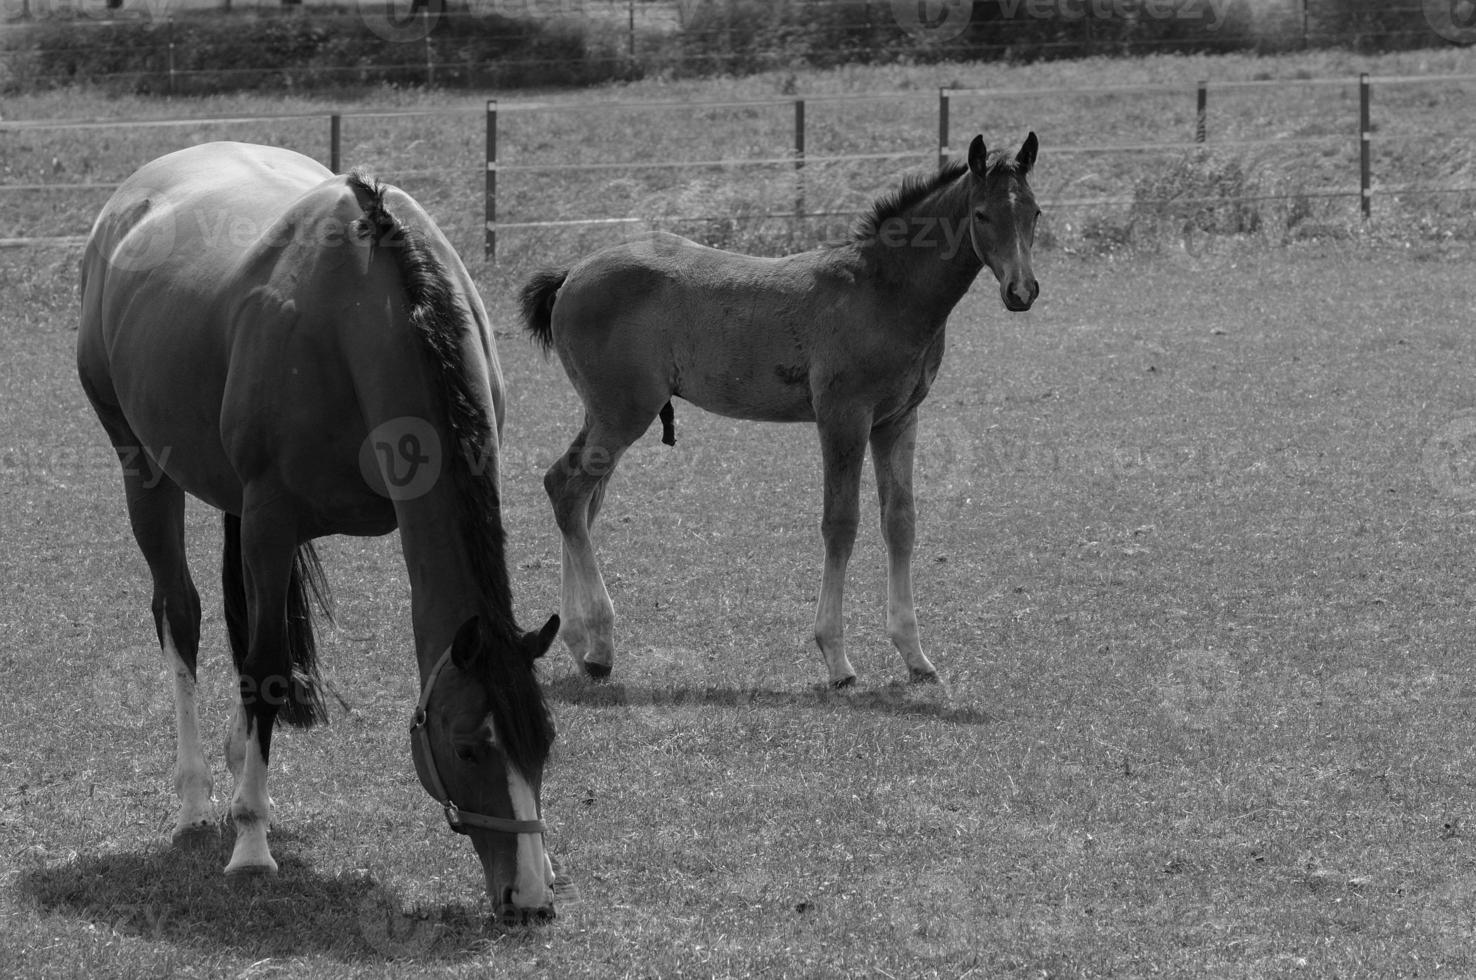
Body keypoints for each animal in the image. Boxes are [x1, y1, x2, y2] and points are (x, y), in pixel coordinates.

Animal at [79, 141, 563, 920]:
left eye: (543, 743)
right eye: (467, 747)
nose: (531, 899)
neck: (367, 309)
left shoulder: (269, 521)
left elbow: (258, 660)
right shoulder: (271, 518)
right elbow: (267, 669)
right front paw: (250, 843)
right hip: (143, 468)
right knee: (179, 613)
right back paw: (195, 803)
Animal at [525, 132, 1045, 687]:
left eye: (1035, 212)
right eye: (982, 214)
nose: (1021, 291)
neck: (883, 291)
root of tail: (571, 274)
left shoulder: (897, 420)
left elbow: (900, 522)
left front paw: (914, 654)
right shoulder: (844, 417)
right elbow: (841, 523)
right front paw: (836, 659)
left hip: (602, 414)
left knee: (574, 496)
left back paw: (578, 642)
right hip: (623, 413)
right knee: (569, 491)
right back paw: (600, 644)